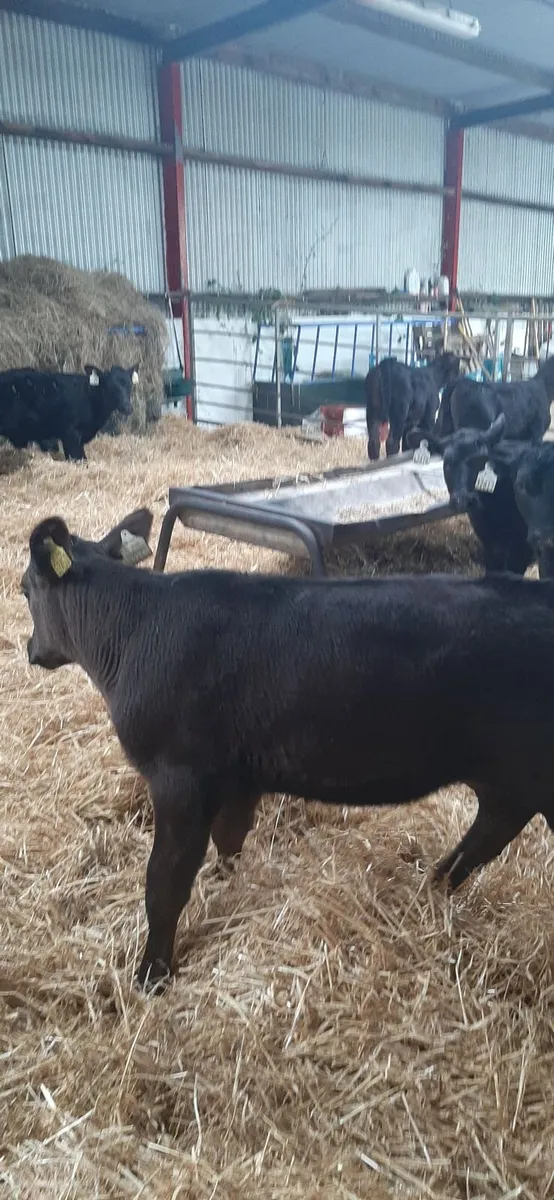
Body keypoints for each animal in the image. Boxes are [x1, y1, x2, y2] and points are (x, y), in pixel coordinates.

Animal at [23, 514, 554, 990]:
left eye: (25, 590)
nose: (30, 649)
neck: (132, 632)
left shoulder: (180, 776)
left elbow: (165, 882)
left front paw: (151, 974)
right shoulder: (238, 775)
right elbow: (230, 839)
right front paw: (226, 884)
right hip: (505, 778)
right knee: (492, 829)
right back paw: (432, 889)